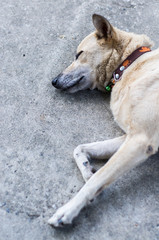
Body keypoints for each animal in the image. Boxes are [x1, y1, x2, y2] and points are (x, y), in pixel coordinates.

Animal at [48, 13, 159, 227]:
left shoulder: (141, 140)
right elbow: (80, 149)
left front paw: (68, 210)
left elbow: (98, 178)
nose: (54, 81)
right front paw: (87, 170)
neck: (129, 65)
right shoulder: (132, 137)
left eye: (79, 54)